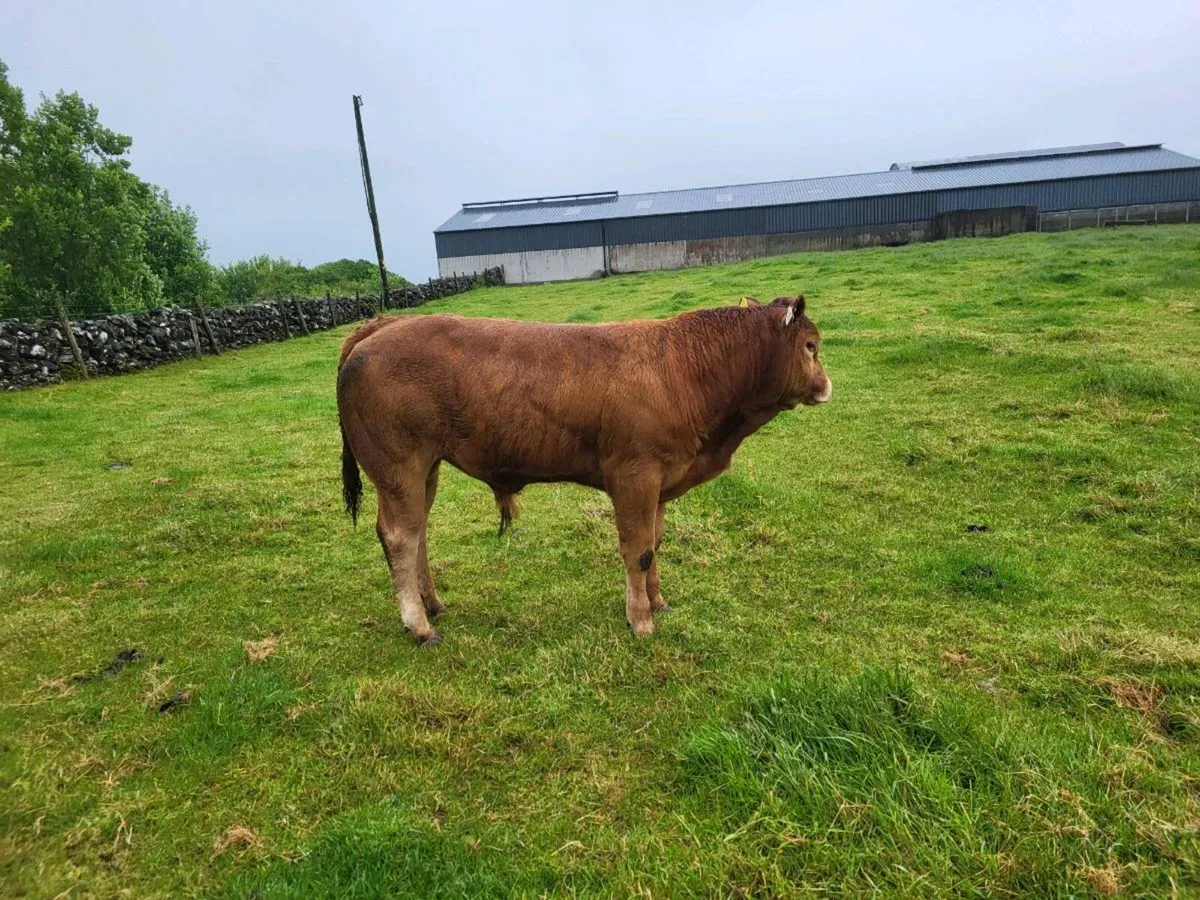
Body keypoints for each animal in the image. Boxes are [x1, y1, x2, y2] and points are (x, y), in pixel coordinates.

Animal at [337, 294, 831, 645]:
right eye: (811, 346)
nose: (827, 386)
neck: (683, 369)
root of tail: (382, 324)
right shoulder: (634, 477)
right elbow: (639, 551)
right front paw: (640, 621)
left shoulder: (659, 483)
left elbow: (655, 544)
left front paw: (657, 602)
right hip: (399, 467)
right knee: (400, 538)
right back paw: (419, 625)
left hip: (426, 469)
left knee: (417, 531)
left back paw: (433, 603)